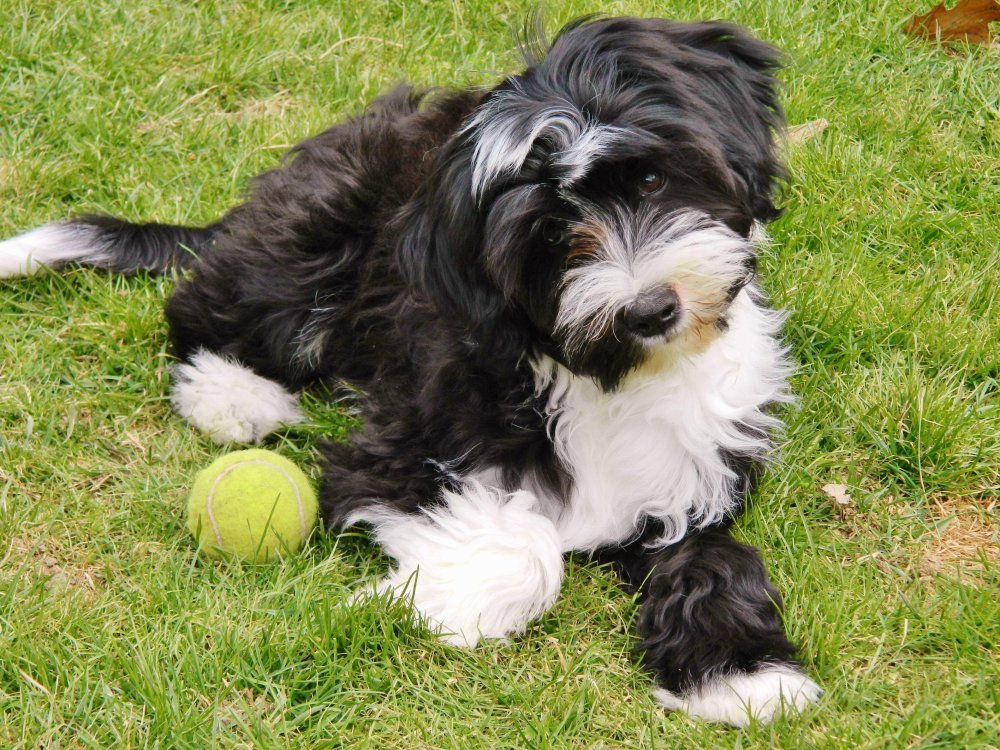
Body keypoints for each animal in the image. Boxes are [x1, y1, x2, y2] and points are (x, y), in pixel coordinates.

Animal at [1, 13, 820, 728]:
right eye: (551, 234)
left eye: (650, 181)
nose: (652, 310)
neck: (605, 376)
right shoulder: (400, 449)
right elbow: (528, 550)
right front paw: (435, 603)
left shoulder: (701, 463)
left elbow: (709, 556)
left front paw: (741, 675)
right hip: (310, 243)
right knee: (203, 308)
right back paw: (231, 394)